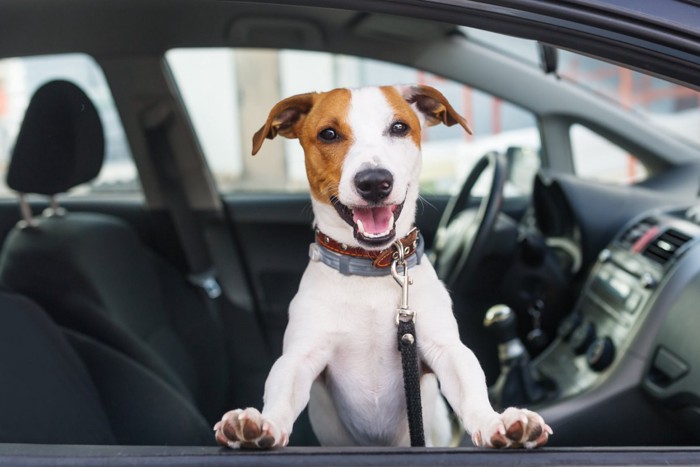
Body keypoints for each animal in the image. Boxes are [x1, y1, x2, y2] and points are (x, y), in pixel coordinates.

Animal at [213, 84, 552, 450]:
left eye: (399, 127)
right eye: (328, 134)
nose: (374, 181)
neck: (371, 267)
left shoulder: (444, 348)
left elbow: (470, 385)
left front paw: (496, 422)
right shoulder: (301, 356)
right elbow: (281, 391)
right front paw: (262, 424)